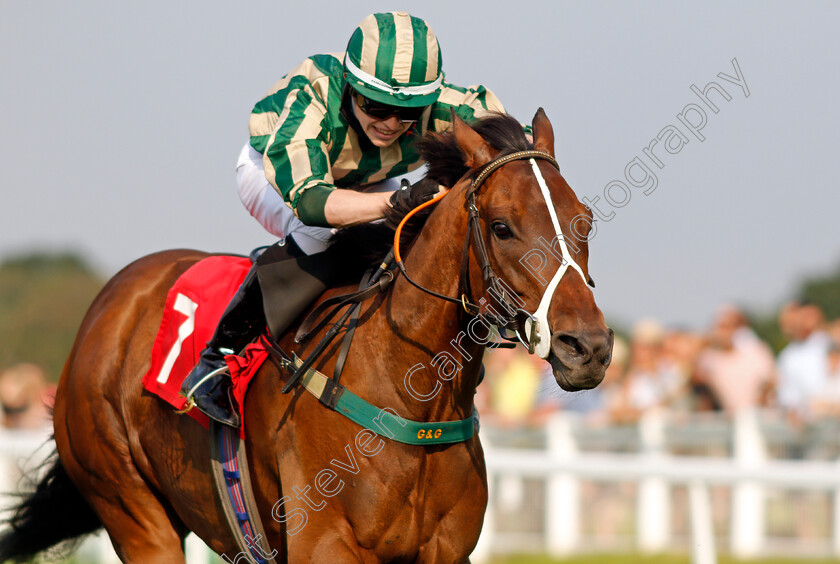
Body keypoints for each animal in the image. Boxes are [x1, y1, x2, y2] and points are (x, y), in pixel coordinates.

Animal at [3, 108, 612, 560]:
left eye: (584, 221)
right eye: (502, 227)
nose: (589, 348)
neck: (411, 395)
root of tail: (112, 301)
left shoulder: (446, 551)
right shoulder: (325, 544)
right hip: (132, 509)